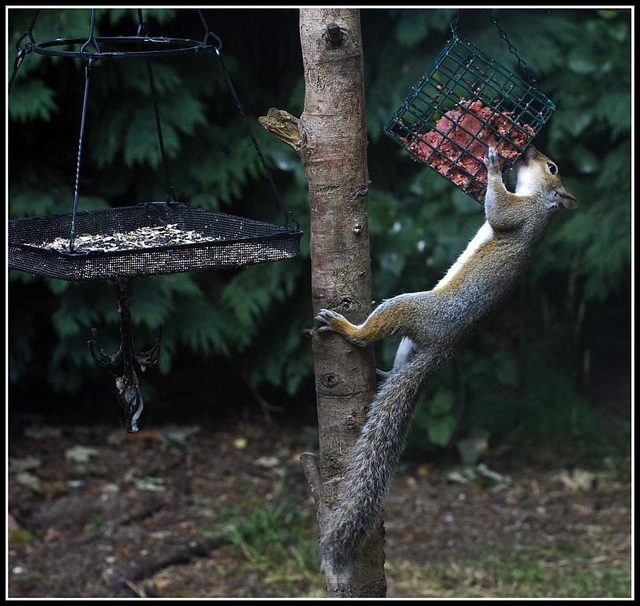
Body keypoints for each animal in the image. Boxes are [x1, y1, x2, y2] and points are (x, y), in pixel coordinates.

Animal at [312, 145, 576, 580]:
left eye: (551, 167)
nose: (529, 151)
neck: (539, 199)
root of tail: (444, 347)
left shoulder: (523, 215)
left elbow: (498, 212)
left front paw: (491, 164)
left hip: (409, 307)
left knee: (368, 333)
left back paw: (345, 328)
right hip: (409, 342)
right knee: (398, 364)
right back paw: (383, 373)